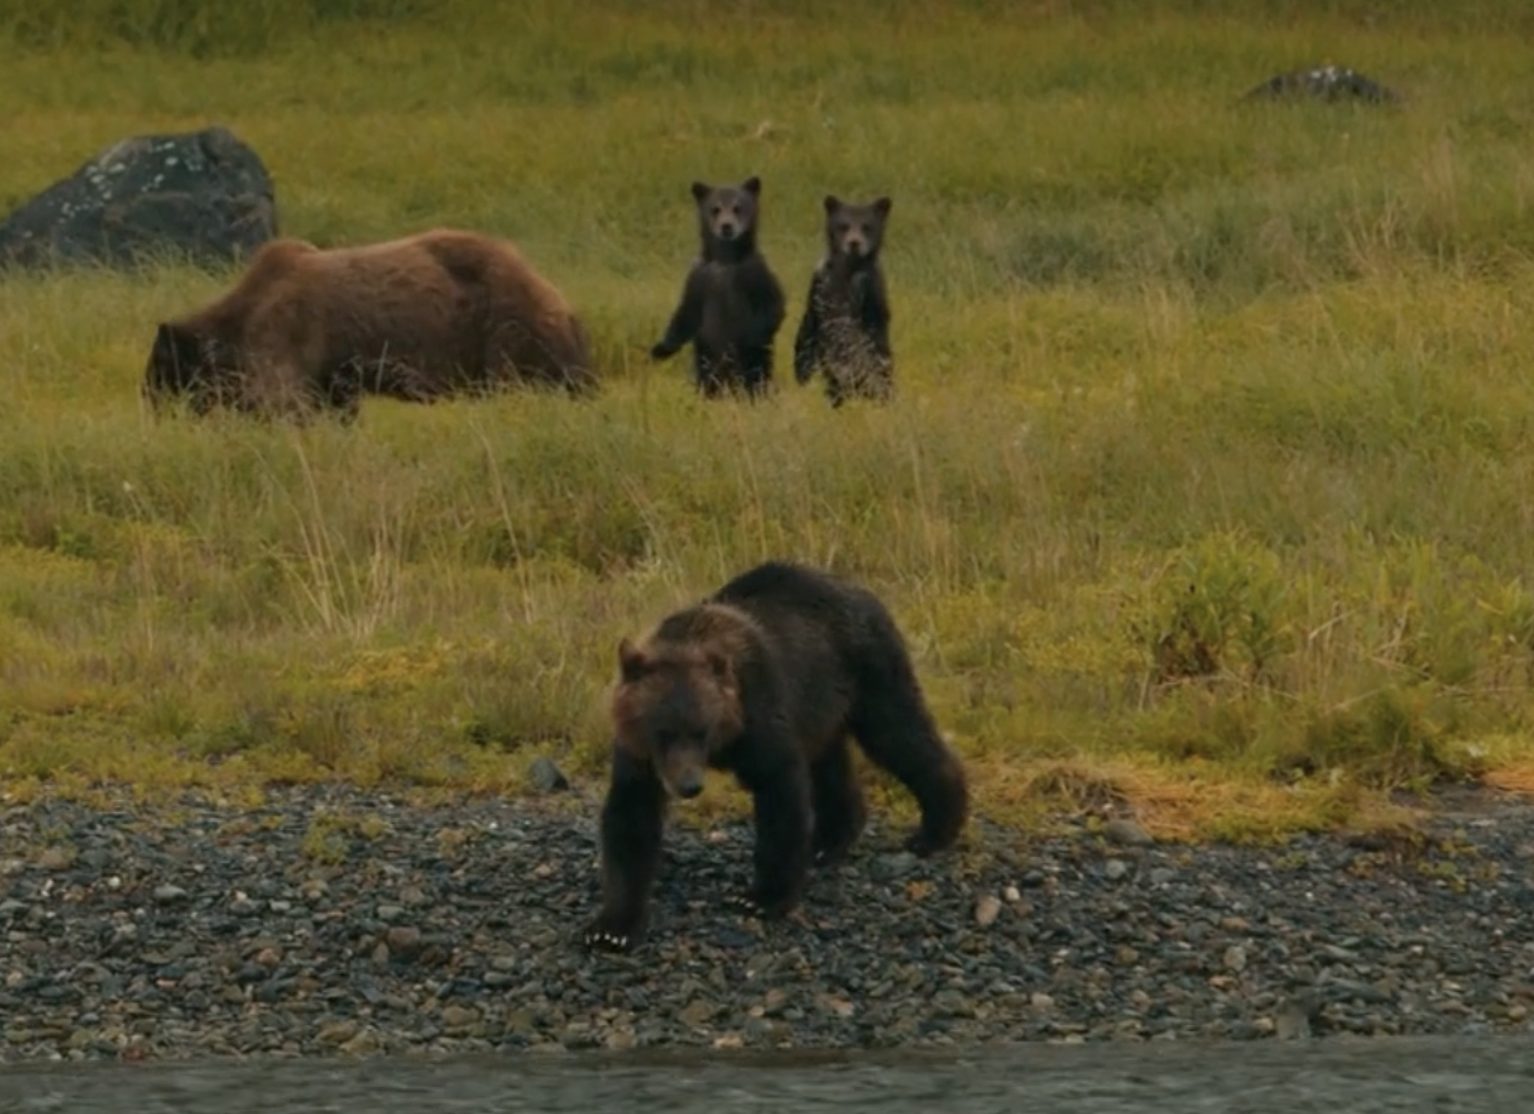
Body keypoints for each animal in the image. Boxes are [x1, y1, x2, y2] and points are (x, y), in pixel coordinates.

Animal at [142, 228, 596, 420]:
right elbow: (335, 408)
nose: (155, 417)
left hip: (506, 333)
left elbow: (285, 401)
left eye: (155, 380)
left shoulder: (286, 333)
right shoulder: (332, 372)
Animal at [583, 560, 969, 952]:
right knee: (830, 766)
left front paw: (762, 898)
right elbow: (631, 816)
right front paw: (611, 928)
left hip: (867, 667)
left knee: (899, 733)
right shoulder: (638, 753)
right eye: (663, 732)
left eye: (701, 730)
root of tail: (862, 590)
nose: (689, 785)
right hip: (821, 703)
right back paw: (828, 842)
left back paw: (934, 830)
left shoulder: (760, 714)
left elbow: (779, 791)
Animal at [649, 176, 786, 399]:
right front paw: (661, 349)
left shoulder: (754, 274)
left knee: (756, 376)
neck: (725, 260)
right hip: (705, 360)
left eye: (738, 207)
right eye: (715, 208)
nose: (726, 226)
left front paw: (748, 339)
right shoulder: (700, 277)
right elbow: (686, 313)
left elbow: (773, 308)